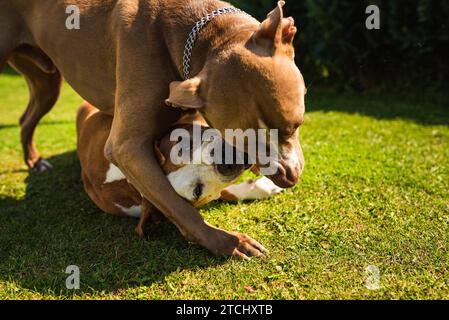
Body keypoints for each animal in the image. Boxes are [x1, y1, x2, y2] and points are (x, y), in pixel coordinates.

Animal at [0, 0, 304, 258]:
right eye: (196, 190)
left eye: (295, 126)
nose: (289, 177)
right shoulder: (126, 147)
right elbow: (182, 210)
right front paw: (228, 243)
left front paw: (259, 187)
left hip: (47, 81)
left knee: (26, 118)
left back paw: (35, 161)